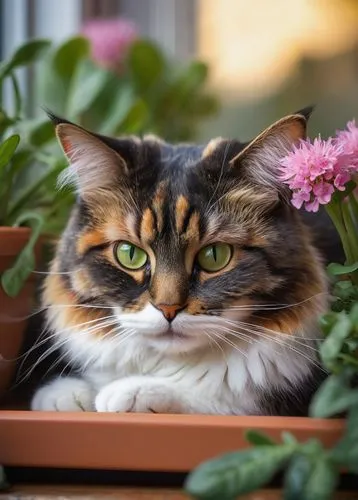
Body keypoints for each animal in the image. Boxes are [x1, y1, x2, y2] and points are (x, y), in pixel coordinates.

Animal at [31, 108, 330, 414]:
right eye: (129, 254)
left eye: (215, 256)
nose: (168, 309)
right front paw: (67, 395)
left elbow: (221, 398)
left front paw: (128, 392)